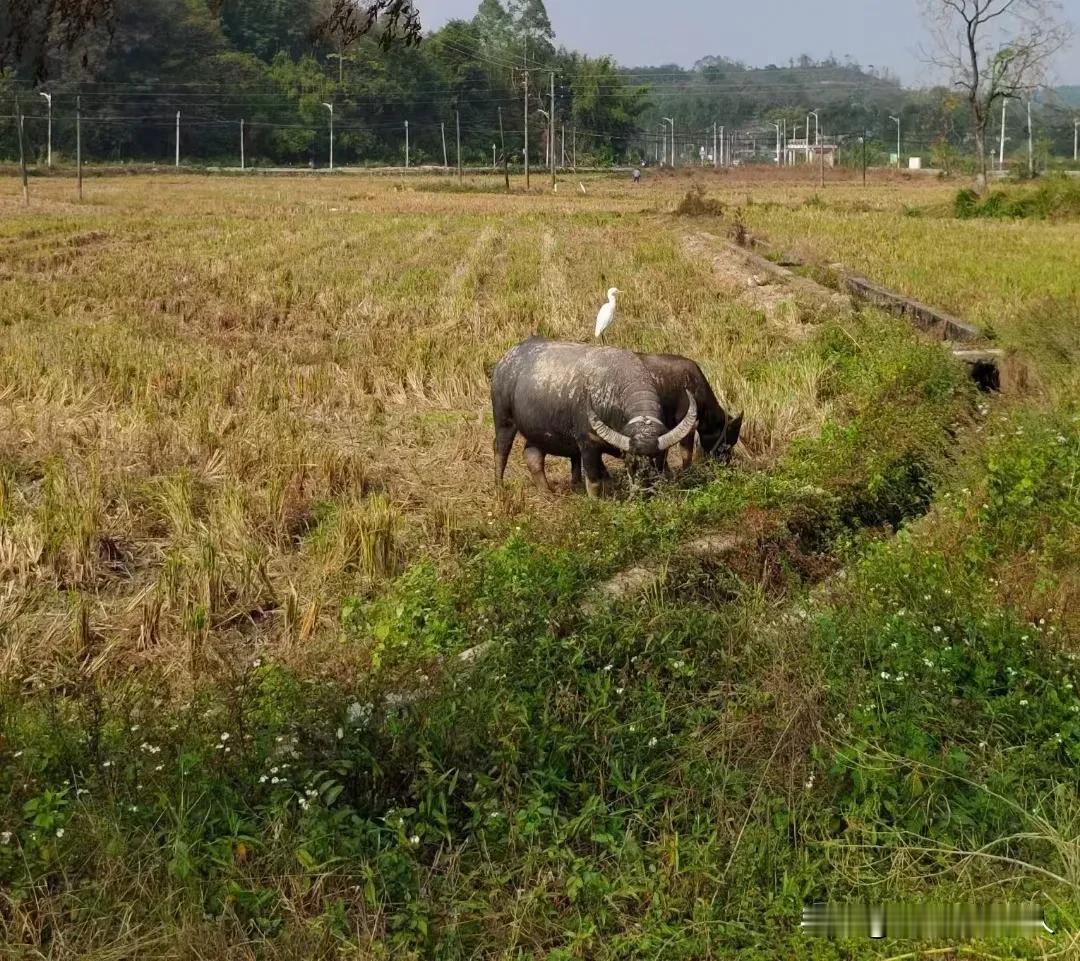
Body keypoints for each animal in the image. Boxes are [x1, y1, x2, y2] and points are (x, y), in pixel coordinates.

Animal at [492, 334, 695, 494]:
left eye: (658, 461)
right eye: (631, 463)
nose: (645, 491)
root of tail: (504, 361)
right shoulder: (588, 443)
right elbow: (594, 483)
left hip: (537, 431)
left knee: (532, 455)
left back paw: (546, 491)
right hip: (503, 419)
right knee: (501, 450)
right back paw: (500, 487)